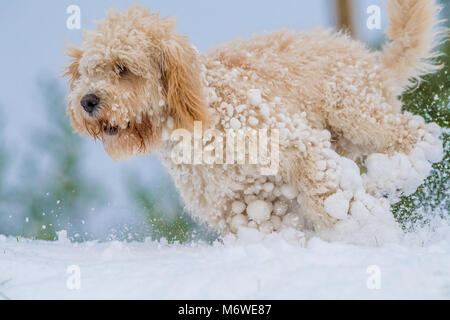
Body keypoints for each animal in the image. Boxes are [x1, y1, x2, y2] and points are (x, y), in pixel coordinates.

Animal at [65, 0, 444, 240]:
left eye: (123, 68)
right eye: (88, 71)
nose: (87, 101)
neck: (202, 116)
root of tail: (370, 60)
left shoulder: (297, 142)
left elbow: (327, 192)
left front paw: (363, 228)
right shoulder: (240, 205)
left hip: (355, 114)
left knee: (419, 136)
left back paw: (387, 181)